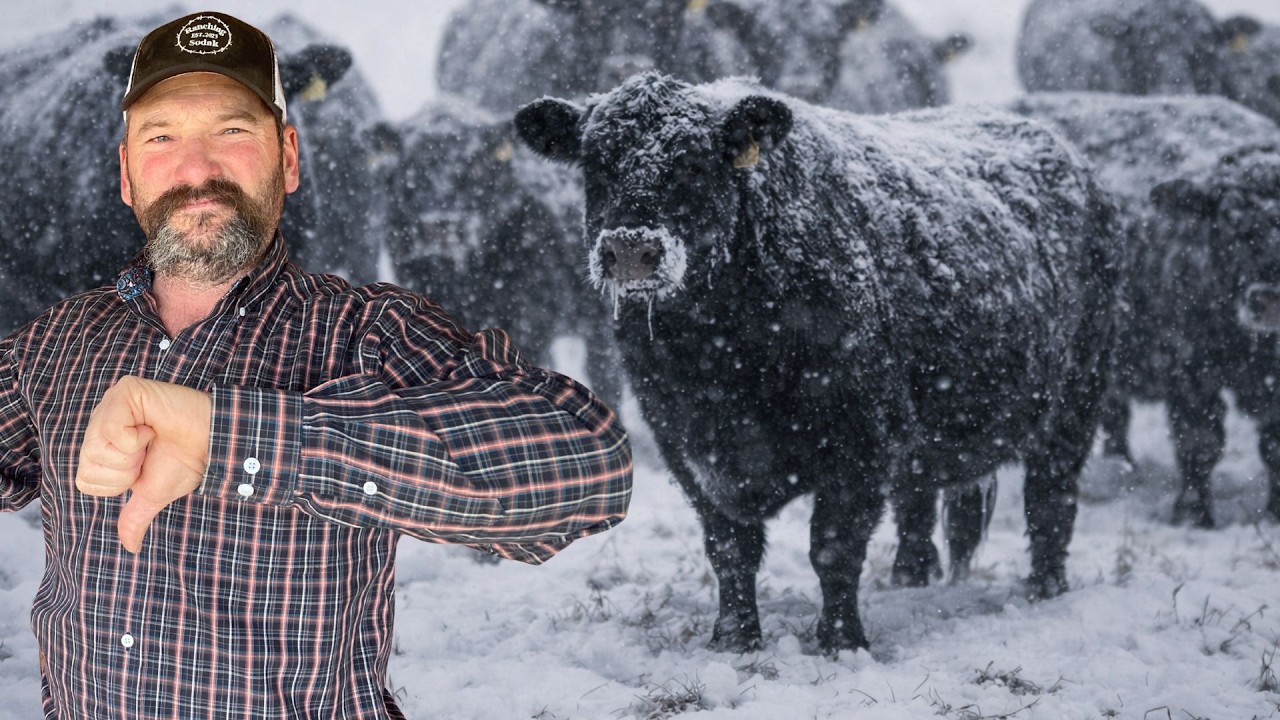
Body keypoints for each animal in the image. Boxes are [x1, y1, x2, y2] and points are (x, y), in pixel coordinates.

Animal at [514, 72, 1120, 652]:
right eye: (596, 162)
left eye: (693, 162)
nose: (631, 249)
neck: (717, 352)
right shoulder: (685, 444)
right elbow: (730, 548)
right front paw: (734, 639)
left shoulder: (857, 441)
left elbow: (833, 548)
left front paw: (841, 642)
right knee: (918, 502)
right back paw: (910, 579)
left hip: (1074, 404)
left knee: (1050, 503)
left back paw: (1045, 590)